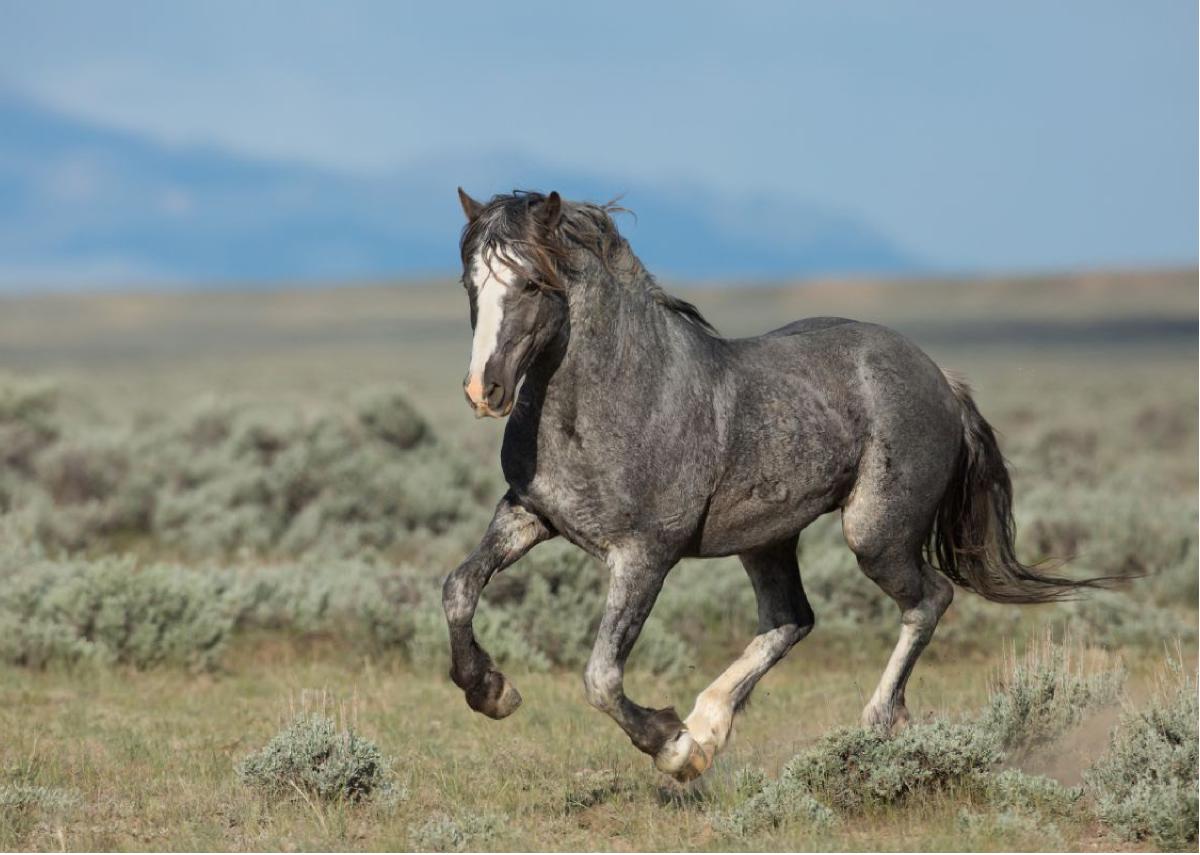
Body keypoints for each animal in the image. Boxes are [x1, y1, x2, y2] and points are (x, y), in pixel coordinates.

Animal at [441, 187, 1104, 782]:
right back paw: (710, 726)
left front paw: (671, 746)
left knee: (928, 600)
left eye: (532, 283)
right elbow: (459, 589)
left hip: (875, 534)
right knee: (792, 618)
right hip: (766, 539)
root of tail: (941, 377)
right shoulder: (528, 514)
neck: (621, 395)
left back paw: (872, 723)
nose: (483, 391)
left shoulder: (645, 555)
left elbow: (601, 678)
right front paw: (491, 690)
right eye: (471, 284)